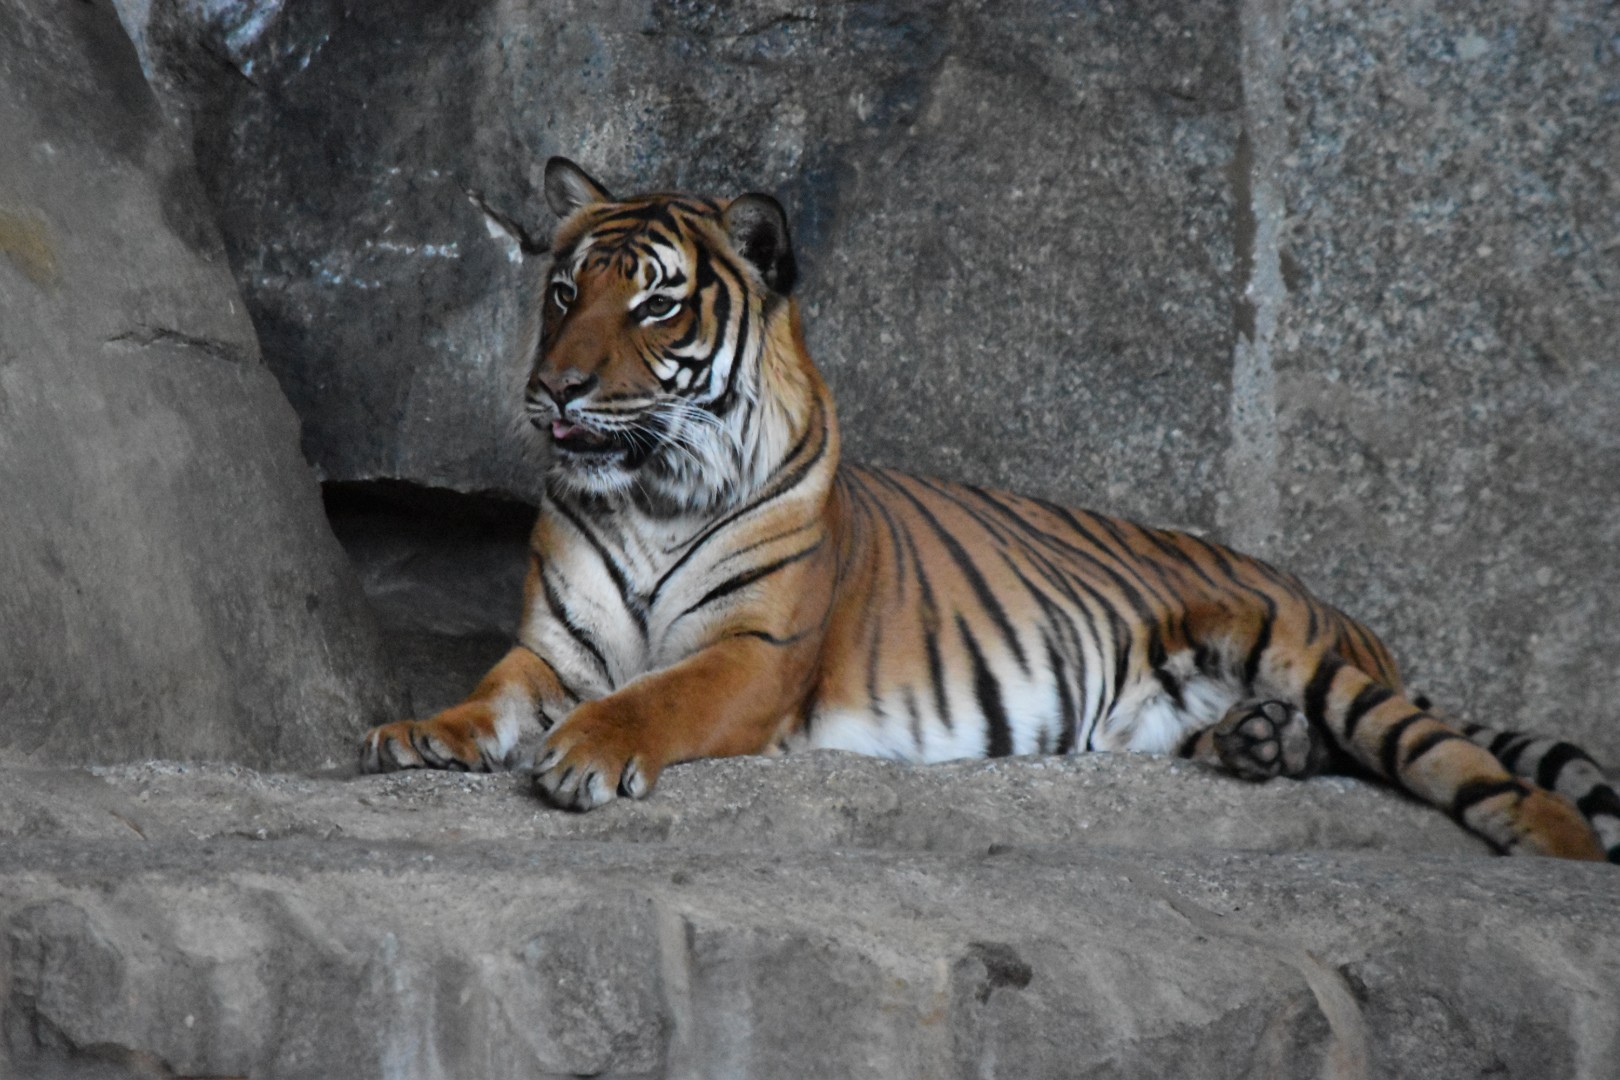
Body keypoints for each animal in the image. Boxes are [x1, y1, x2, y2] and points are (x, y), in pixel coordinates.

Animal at [360, 157, 1620, 863]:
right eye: (566, 292)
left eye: (657, 306)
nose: (555, 388)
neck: (650, 495)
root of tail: (1335, 609)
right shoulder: (552, 647)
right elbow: (492, 692)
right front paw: (420, 733)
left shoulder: (756, 653)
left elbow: (656, 697)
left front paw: (583, 752)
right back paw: (1260, 744)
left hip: (1306, 652)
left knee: (1450, 756)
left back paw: (1545, 841)